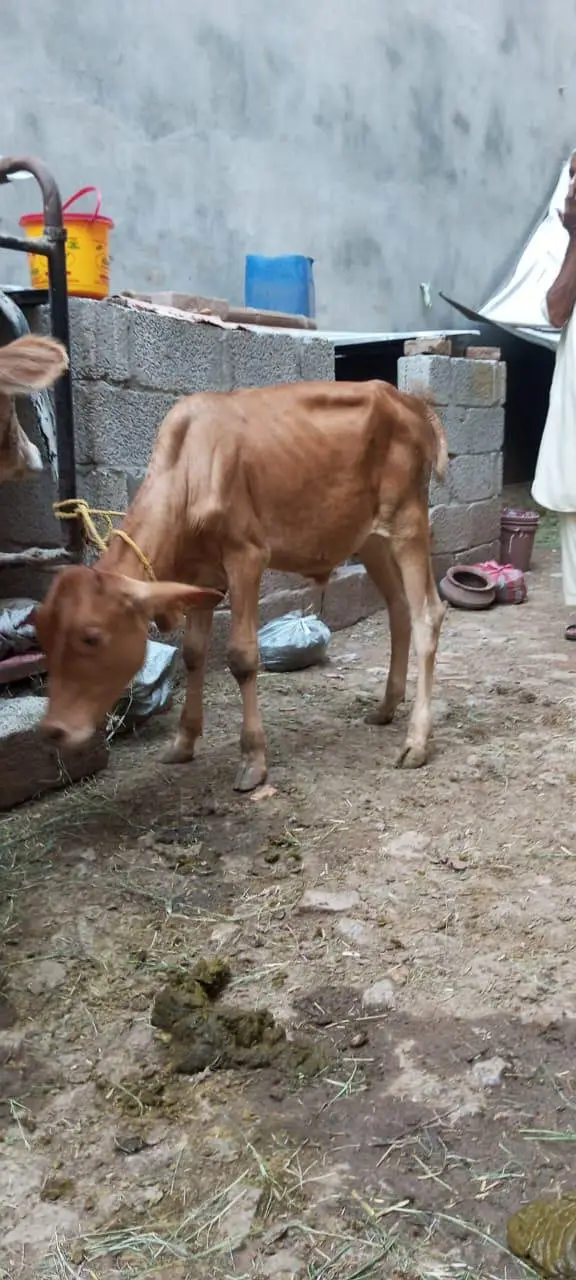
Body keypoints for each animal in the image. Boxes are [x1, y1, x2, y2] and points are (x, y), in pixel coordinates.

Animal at [34, 379, 447, 791]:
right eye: (43, 637)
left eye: (91, 637)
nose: (53, 729)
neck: (190, 467)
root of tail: (408, 400)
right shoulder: (201, 576)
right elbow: (193, 653)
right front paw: (184, 741)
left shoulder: (246, 556)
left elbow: (242, 657)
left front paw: (252, 758)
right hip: (370, 537)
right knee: (399, 607)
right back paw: (386, 707)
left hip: (408, 521)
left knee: (427, 614)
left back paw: (416, 742)